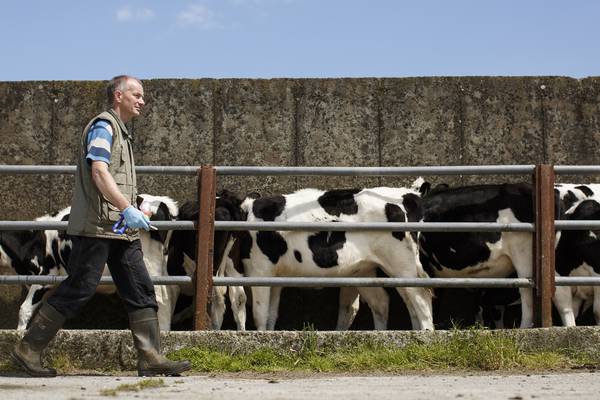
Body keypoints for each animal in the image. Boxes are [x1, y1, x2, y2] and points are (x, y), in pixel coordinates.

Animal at [241, 186, 434, 330]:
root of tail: (409, 194)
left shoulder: (259, 270)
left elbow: (259, 313)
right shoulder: (275, 276)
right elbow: (271, 314)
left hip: (402, 263)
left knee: (420, 297)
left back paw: (425, 333)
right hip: (367, 270)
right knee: (386, 301)